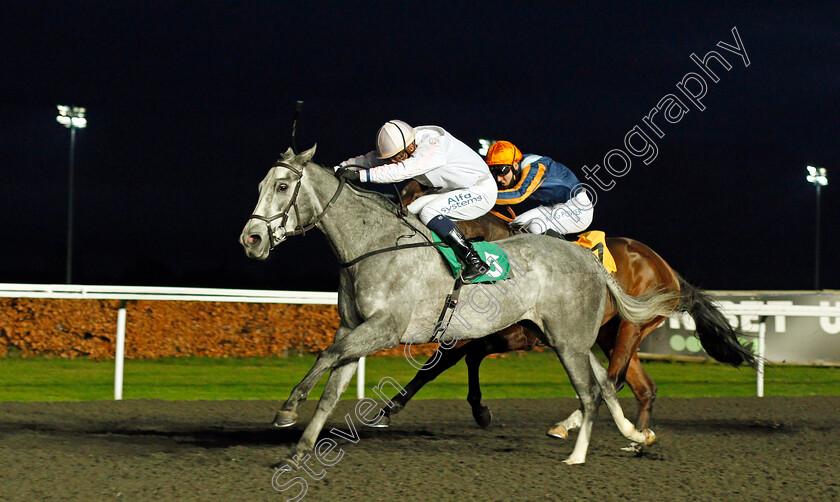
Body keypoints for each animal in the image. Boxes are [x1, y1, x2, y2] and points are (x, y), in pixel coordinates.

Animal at [240, 146, 680, 466]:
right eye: (260, 184)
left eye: (283, 186)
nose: (252, 238)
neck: (374, 245)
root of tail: (589, 259)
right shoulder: (354, 327)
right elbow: (332, 387)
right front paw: (300, 449)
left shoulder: (385, 327)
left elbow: (327, 355)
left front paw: (287, 410)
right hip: (568, 337)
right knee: (606, 384)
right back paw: (636, 436)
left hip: (579, 339)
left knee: (592, 390)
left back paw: (578, 455)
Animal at [384, 179, 756, 436]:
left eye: (407, 214)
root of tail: (667, 268)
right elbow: (445, 362)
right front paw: (395, 405)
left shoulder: (519, 336)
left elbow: (464, 357)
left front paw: (478, 410)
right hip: (611, 332)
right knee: (644, 388)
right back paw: (636, 439)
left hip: (633, 326)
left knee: (613, 380)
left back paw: (570, 424)